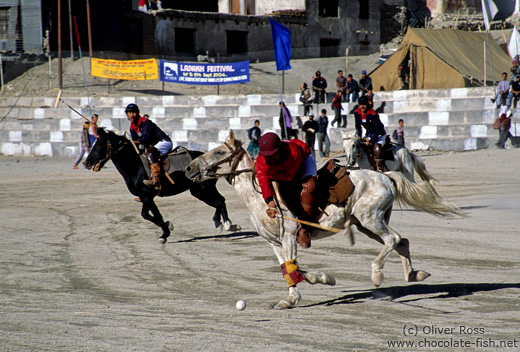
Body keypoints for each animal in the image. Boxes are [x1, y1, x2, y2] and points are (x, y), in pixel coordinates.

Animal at [186, 131, 464, 310]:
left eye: (219, 151)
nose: (188, 168)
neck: (260, 198)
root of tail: (385, 177)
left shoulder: (289, 236)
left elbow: (293, 268)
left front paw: (302, 294)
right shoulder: (274, 243)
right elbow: (289, 269)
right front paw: (303, 290)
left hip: (370, 219)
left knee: (393, 239)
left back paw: (377, 275)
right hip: (365, 224)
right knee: (401, 241)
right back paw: (414, 274)